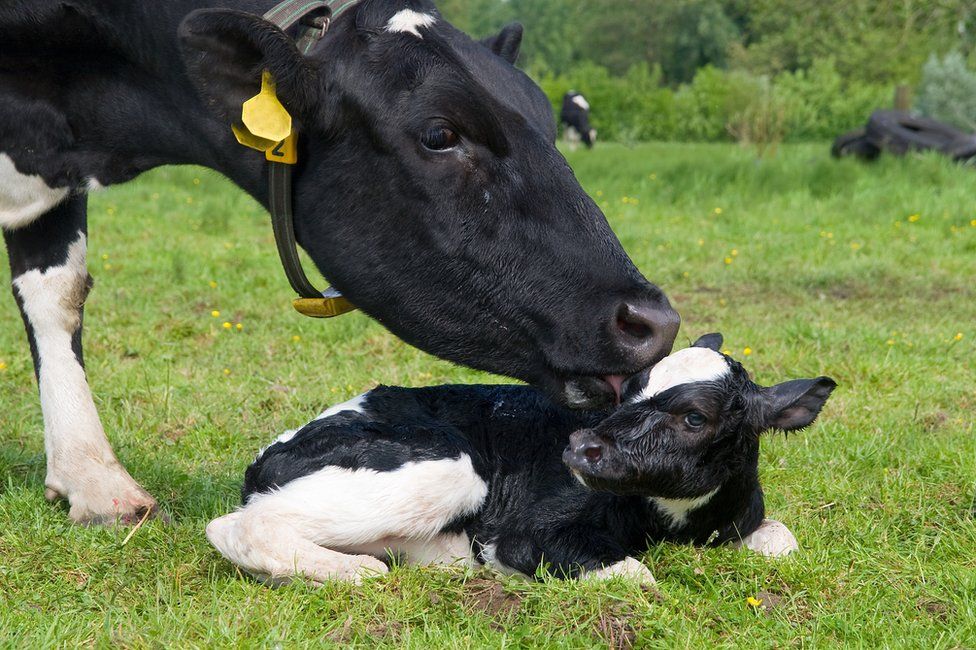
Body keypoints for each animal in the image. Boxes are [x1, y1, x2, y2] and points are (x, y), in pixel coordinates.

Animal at [208, 336, 840, 584]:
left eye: (693, 418)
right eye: (629, 390)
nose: (581, 446)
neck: (673, 524)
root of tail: (271, 453)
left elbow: (782, 540)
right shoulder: (525, 533)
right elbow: (635, 574)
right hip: (448, 468)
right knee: (234, 525)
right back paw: (354, 571)